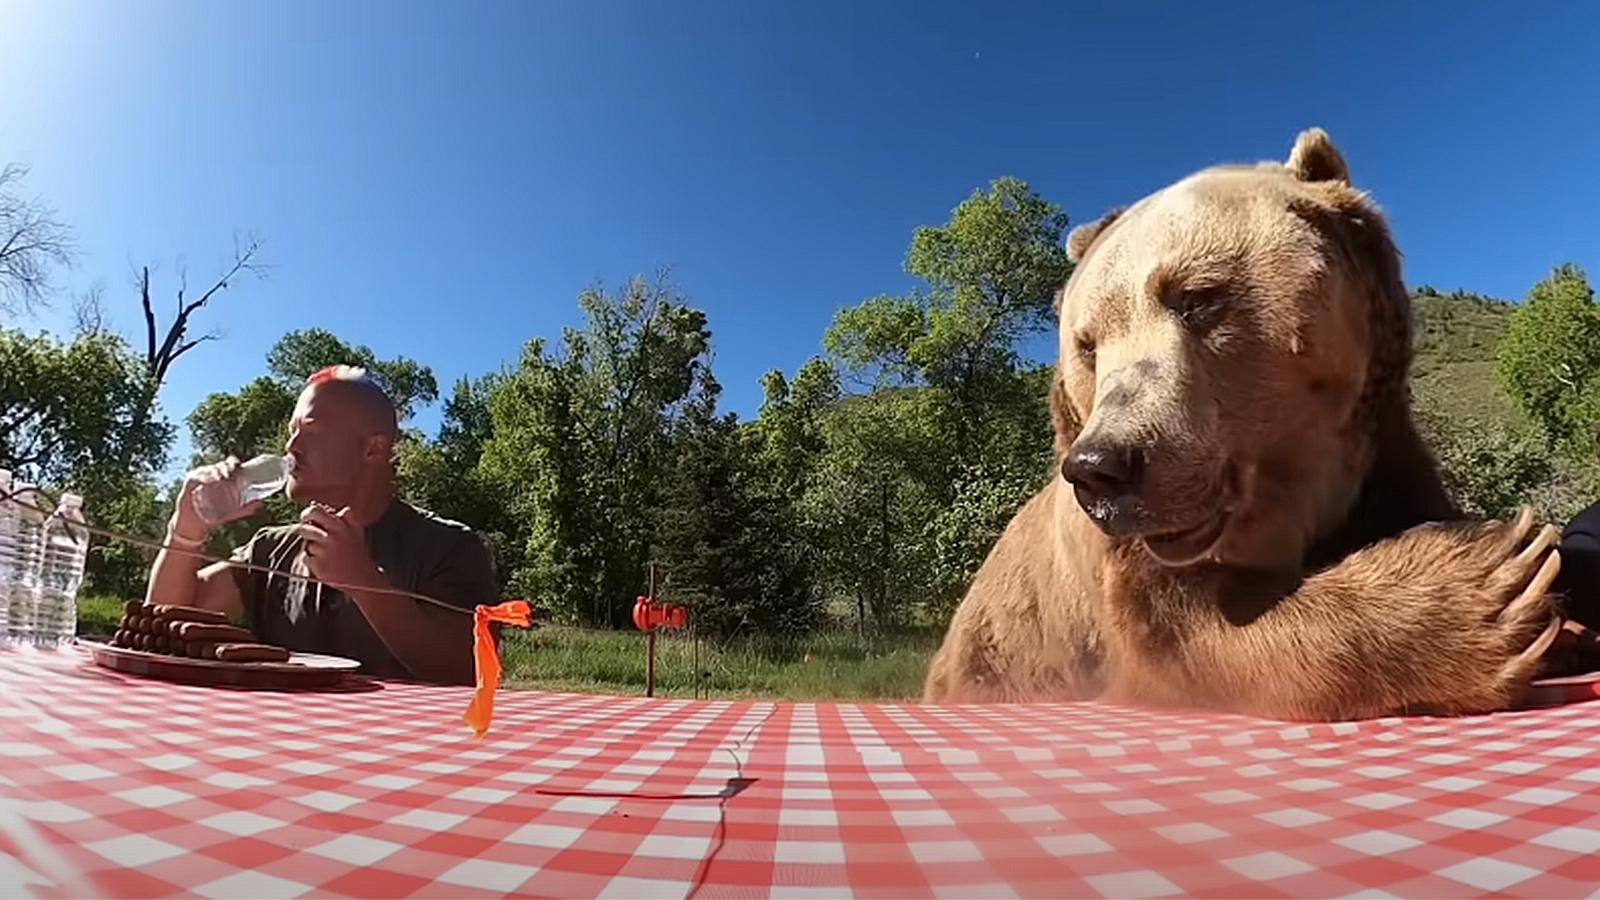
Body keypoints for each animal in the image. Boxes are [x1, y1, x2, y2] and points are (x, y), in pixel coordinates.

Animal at [928, 126, 1561, 717]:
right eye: (1087, 345)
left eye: (1197, 297)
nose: (1102, 467)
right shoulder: (1120, 574)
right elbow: (1191, 638)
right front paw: (1493, 578)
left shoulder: (1384, 459)